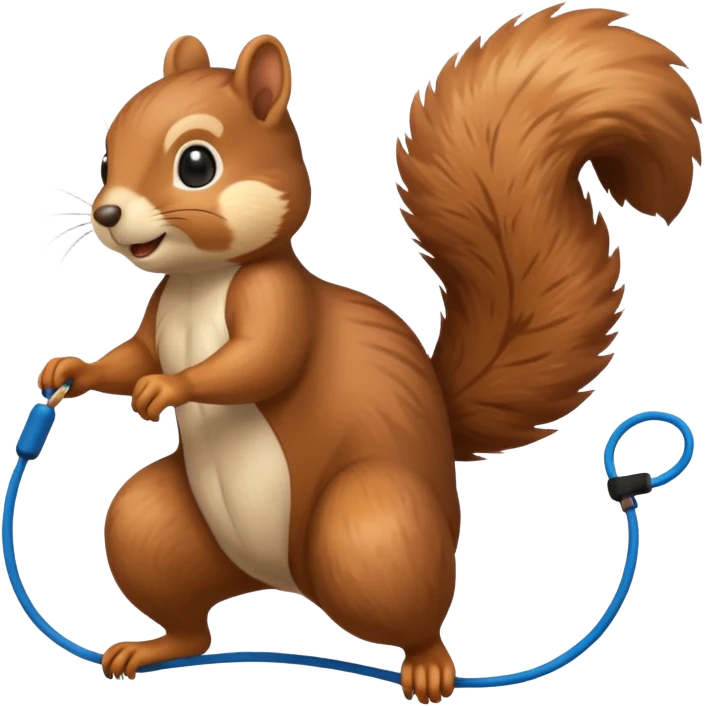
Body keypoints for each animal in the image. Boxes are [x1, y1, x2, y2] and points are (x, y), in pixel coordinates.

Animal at [37, 6, 701, 702]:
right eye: (105, 156)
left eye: (197, 163)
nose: (108, 213)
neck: (203, 280)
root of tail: (280, 580)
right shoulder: (158, 314)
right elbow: (134, 355)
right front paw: (71, 370)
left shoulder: (277, 303)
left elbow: (259, 362)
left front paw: (169, 388)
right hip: (162, 530)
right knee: (188, 615)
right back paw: (152, 648)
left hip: (370, 531)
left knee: (413, 613)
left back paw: (430, 667)